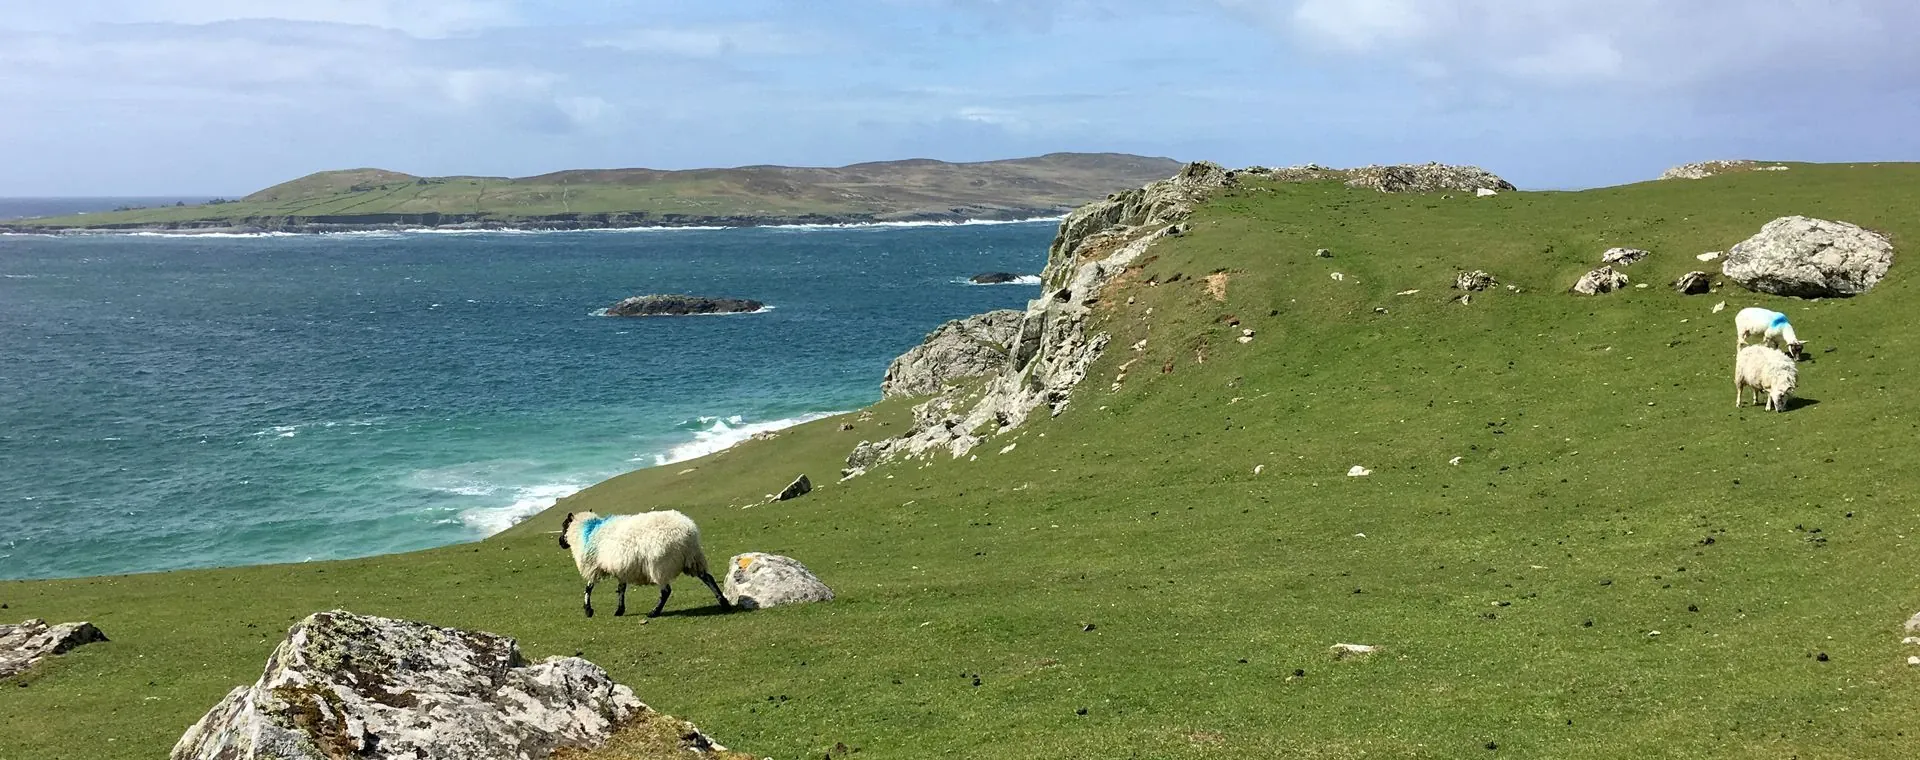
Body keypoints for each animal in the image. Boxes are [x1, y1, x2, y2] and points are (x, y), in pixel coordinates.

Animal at [559, 510, 731, 618]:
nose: (560, 542)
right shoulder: (621, 568)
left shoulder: (593, 566)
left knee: (666, 591)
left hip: (660, 564)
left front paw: (588, 610)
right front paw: (619, 610)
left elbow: (588, 588)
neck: (589, 530)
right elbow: (621, 589)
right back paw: (724, 602)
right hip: (693, 559)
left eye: (564, 525)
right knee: (708, 578)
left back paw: (654, 612)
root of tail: (688, 532)